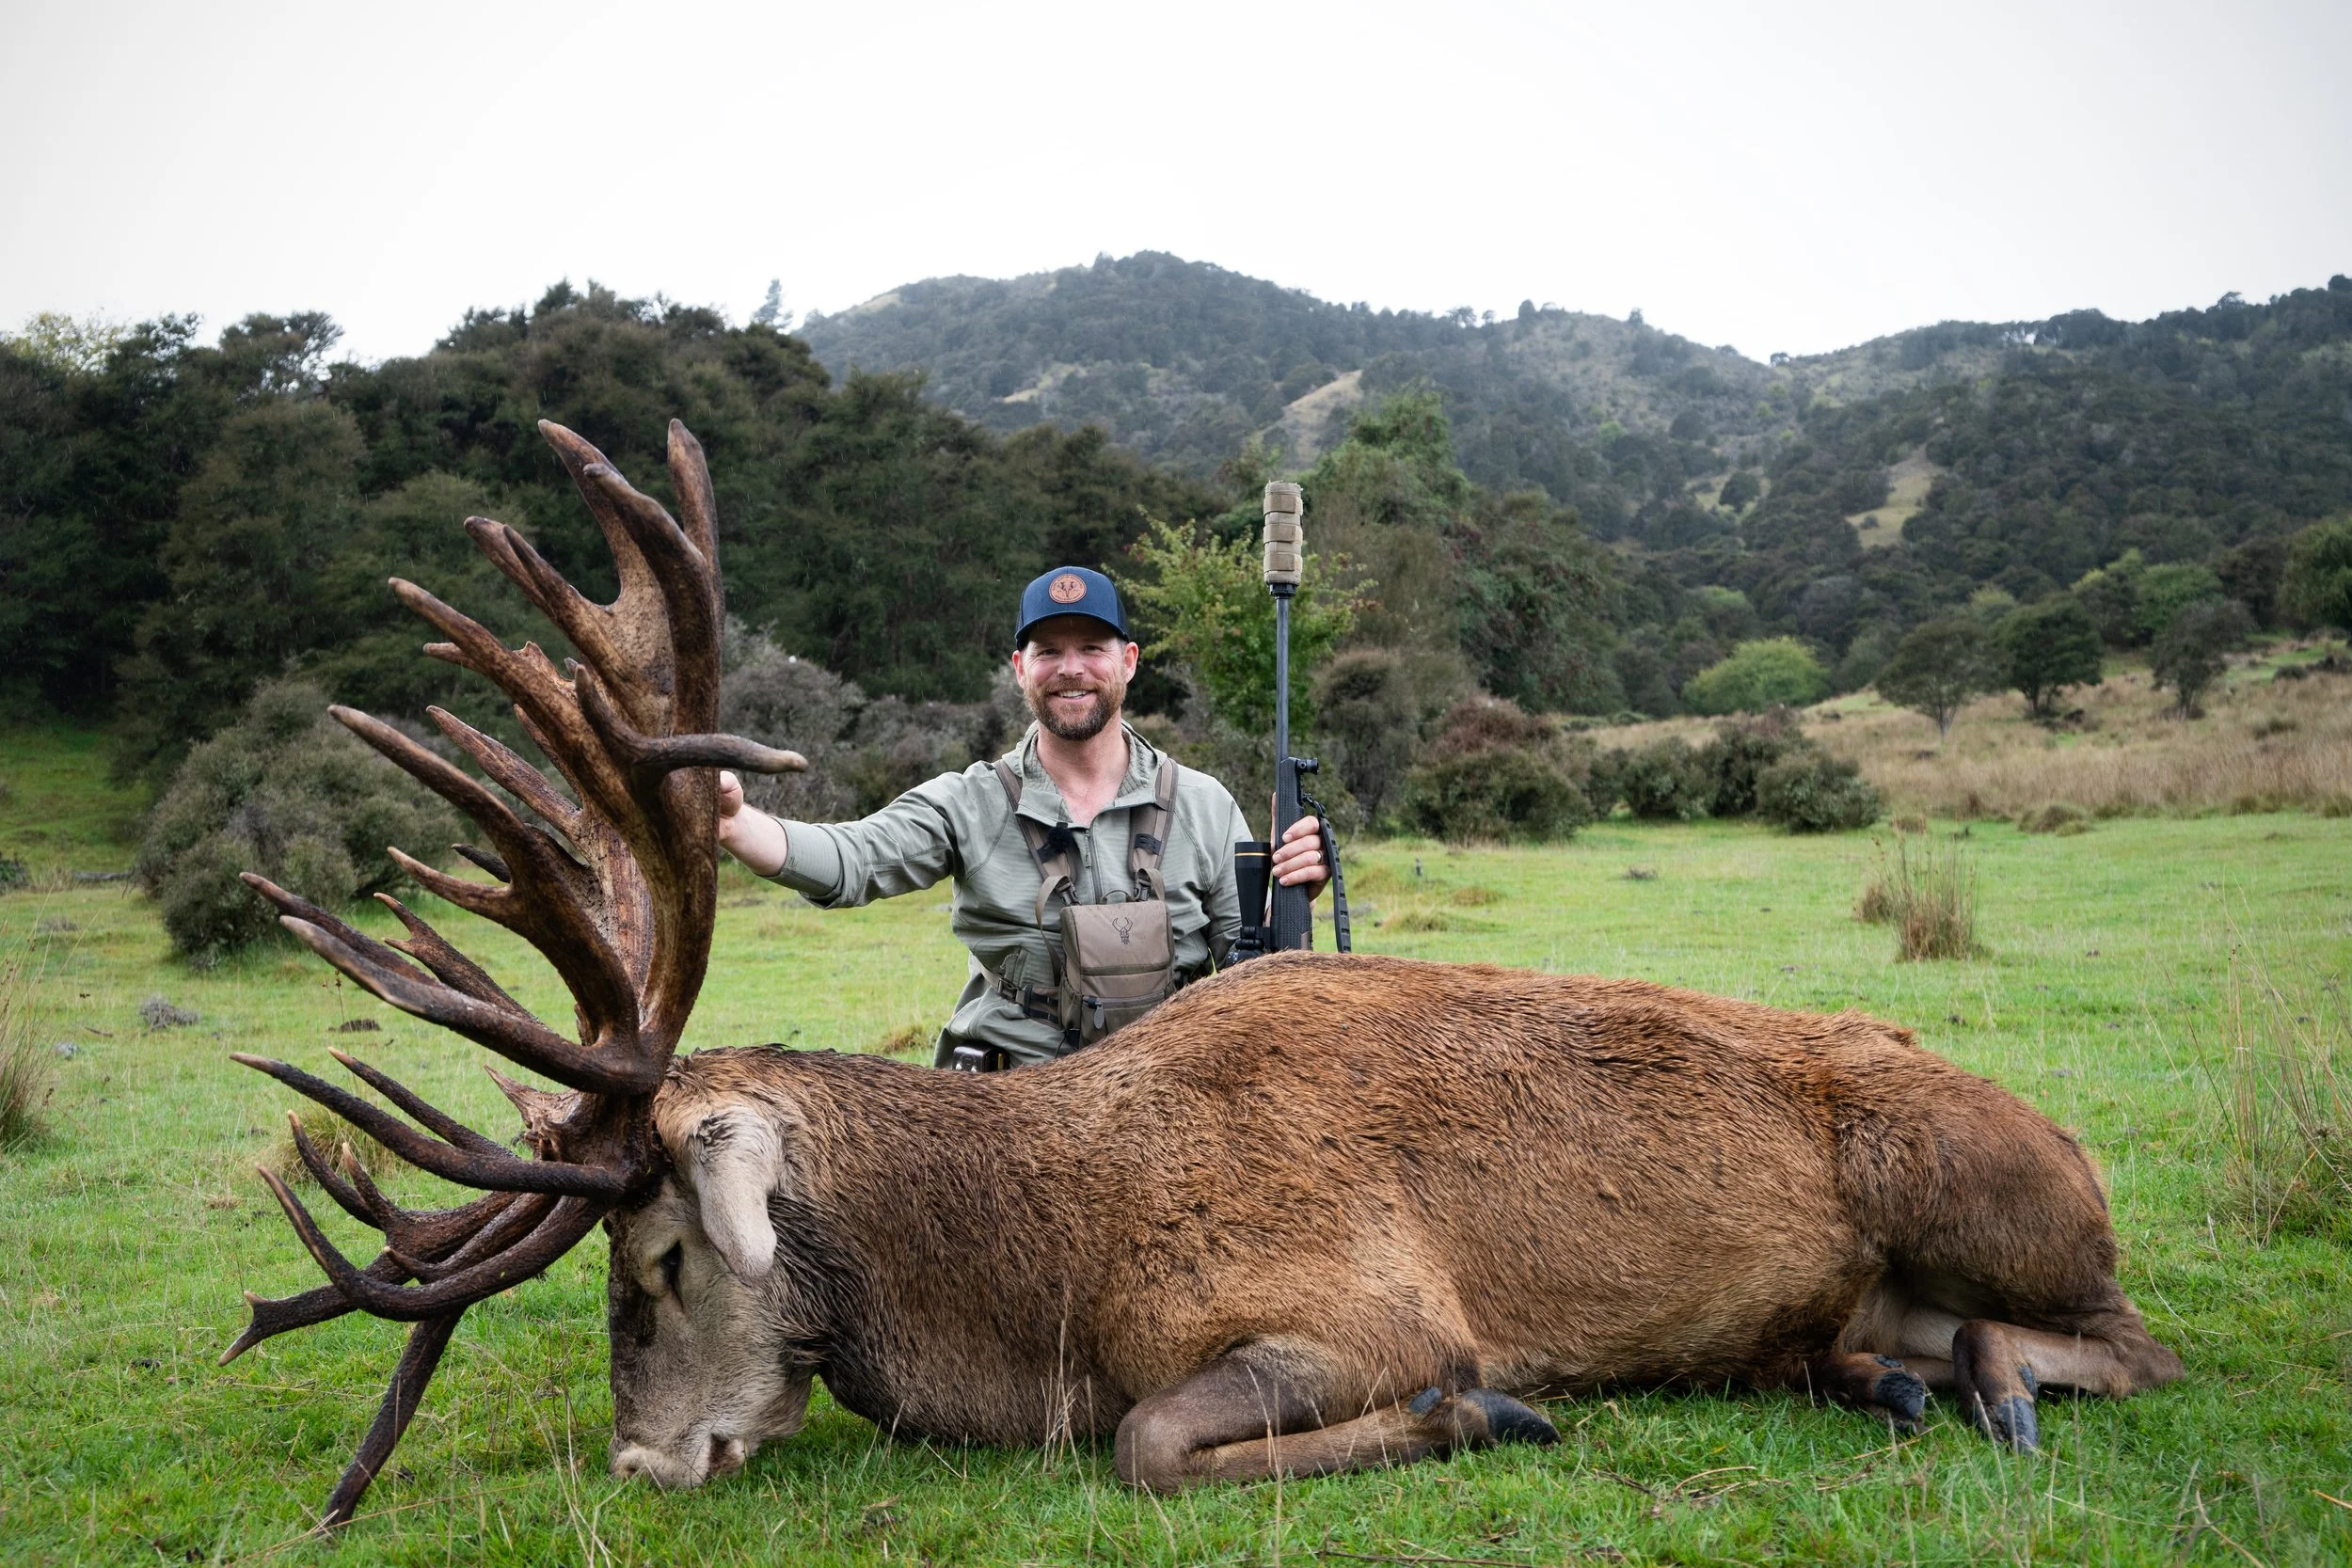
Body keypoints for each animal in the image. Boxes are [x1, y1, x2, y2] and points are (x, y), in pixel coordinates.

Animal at [225, 419, 2183, 1530]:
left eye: (657, 1257)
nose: (649, 1462)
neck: (1045, 1279)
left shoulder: (1362, 1300)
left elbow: (1155, 1445)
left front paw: (1486, 1408)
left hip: (1983, 1179)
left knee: (2134, 1338)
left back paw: (1988, 1380)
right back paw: (1877, 1377)